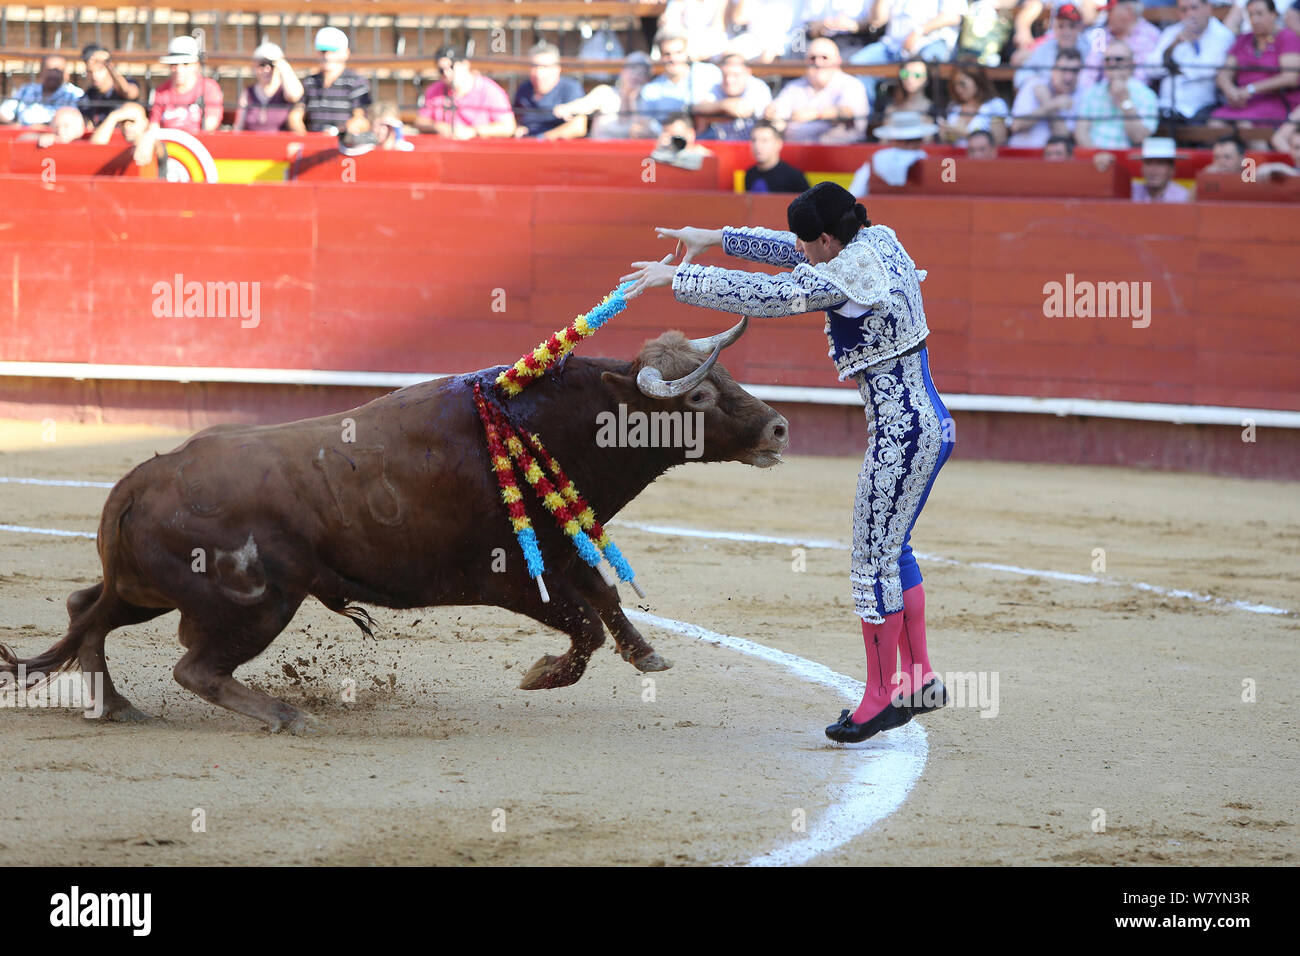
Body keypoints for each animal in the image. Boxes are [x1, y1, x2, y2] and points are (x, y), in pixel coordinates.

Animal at [0, 321, 785, 733]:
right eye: (703, 397)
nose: (778, 428)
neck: (538, 425)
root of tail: (139, 481)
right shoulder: (509, 580)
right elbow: (584, 623)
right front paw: (542, 675)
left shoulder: (559, 556)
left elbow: (606, 598)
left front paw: (648, 654)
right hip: (256, 603)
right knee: (193, 665)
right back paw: (284, 715)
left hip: (146, 589)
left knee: (86, 608)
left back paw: (113, 705)